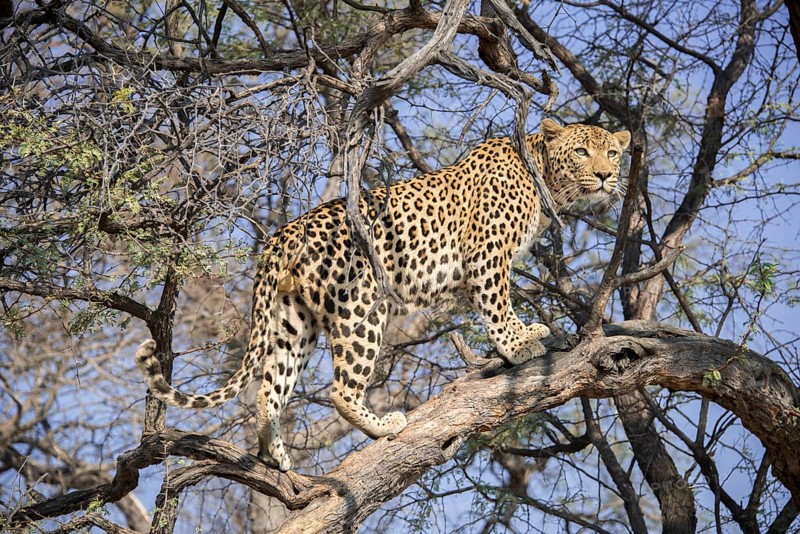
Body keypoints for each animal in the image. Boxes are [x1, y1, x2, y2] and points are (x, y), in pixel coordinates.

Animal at [135, 119, 631, 471]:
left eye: (612, 152)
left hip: (293, 323)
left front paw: (523, 338)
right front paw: (520, 343)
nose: (606, 176)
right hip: (362, 308)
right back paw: (383, 426)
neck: (545, 180)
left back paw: (275, 454)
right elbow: (496, 304)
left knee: (268, 390)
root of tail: (283, 234)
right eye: (582, 151)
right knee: (340, 389)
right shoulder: (487, 254)